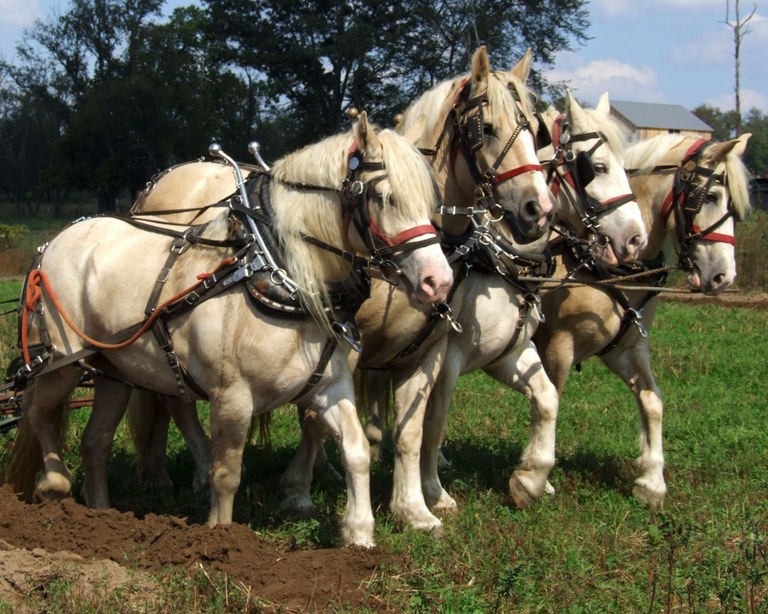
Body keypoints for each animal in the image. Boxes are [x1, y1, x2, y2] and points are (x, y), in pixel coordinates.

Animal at [3, 113, 452, 548]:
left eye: (432, 202)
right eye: (384, 197)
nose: (440, 281)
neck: (275, 271)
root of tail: (53, 242)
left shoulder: (329, 387)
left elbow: (356, 449)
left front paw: (359, 535)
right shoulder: (232, 397)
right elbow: (226, 474)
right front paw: (221, 538)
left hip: (114, 371)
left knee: (94, 442)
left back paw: (98, 519)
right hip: (61, 363)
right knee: (38, 411)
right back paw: (55, 485)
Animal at [532, 132, 752, 508]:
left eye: (735, 207)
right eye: (711, 196)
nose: (724, 276)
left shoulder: (626, 348)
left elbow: (652, 401)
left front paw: (651, 481)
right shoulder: (556, 347)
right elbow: (552, 398)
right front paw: (539, 476)